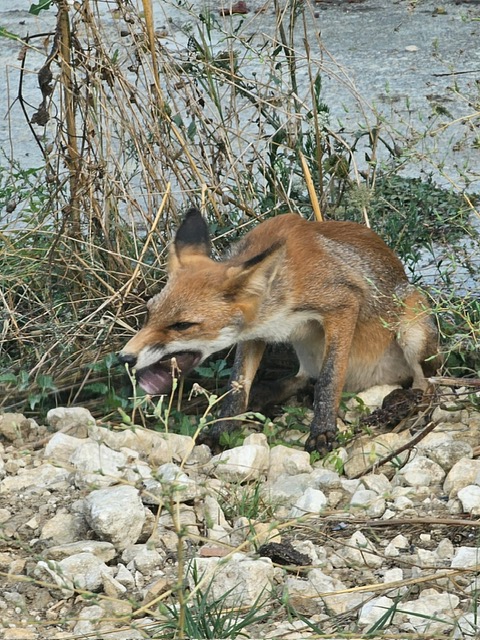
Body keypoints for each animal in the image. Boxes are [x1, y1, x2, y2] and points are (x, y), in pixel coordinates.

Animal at [119, 208, 438, 452]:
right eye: (149, 313)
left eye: (182, 325)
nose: (125, 358)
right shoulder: (255, 333)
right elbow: (237, 387)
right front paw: (221, 430)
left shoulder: (343, 304)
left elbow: (329, 379)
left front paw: (322, 432)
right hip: (307, 354)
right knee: (300, 379)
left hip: (412, 333)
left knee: (426, 384)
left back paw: (404, 401)